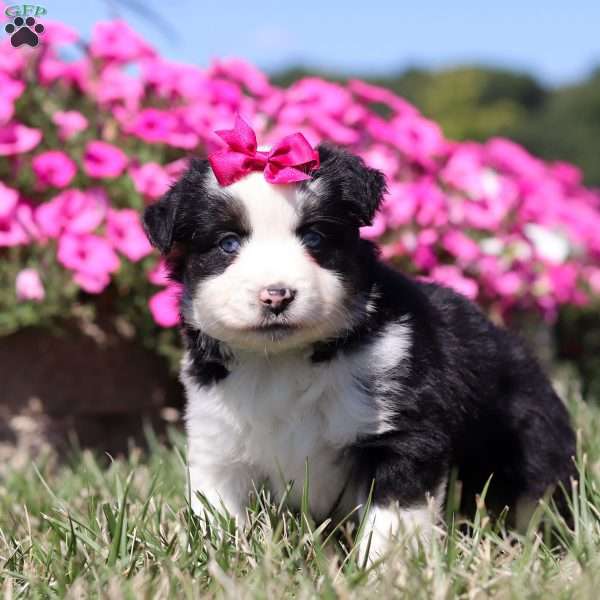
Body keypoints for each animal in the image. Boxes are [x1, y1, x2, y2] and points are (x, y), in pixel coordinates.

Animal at [144, 138, 576, 560]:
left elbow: (392, 519)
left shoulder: (405, 433)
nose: (276, 296)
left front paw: (384, 569)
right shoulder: (218, 443)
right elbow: (216, 512)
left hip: (532, 448)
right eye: (228, 243)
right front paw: (220, 559)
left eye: (314, 238)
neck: (283, 361)